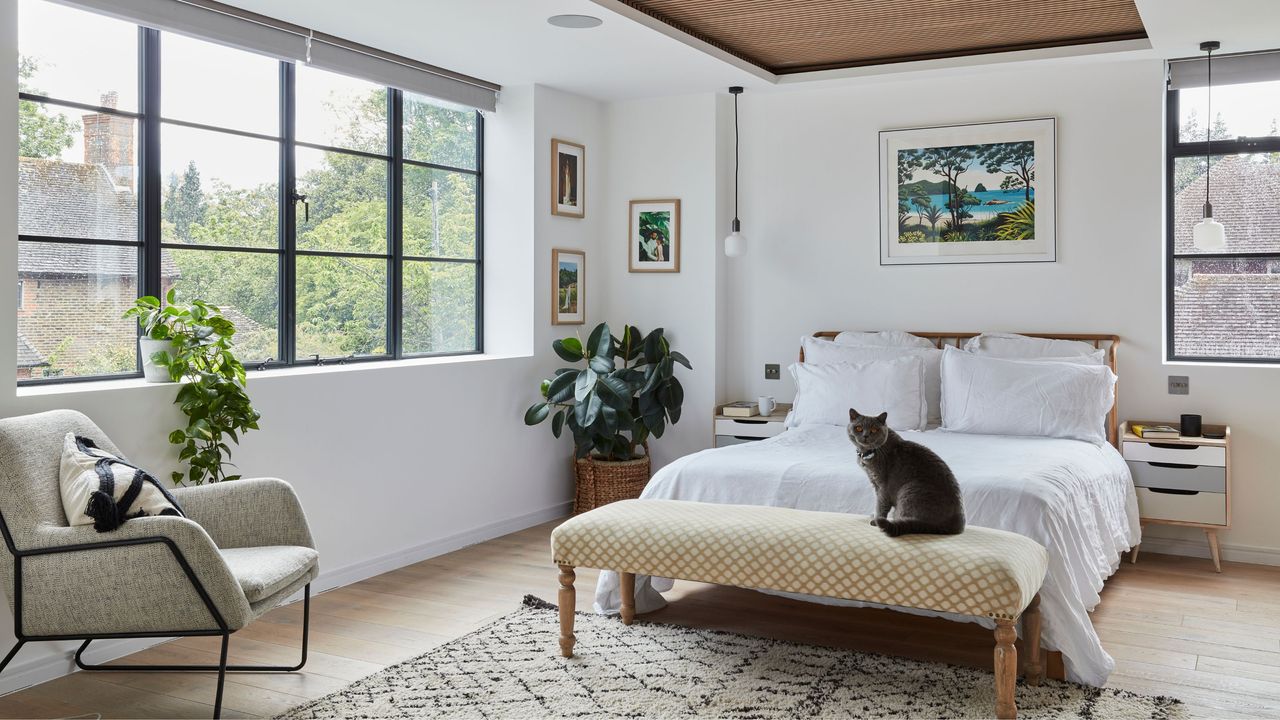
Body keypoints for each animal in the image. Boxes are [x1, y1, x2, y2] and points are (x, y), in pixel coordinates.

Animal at [844, 407, 962, 535]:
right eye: (858, 428)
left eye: (874, 429)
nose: (865, 435)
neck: (868, 454)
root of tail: (958, 524)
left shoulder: (883, 486)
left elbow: (880, 504)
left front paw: (876, 520)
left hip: (909, 490)